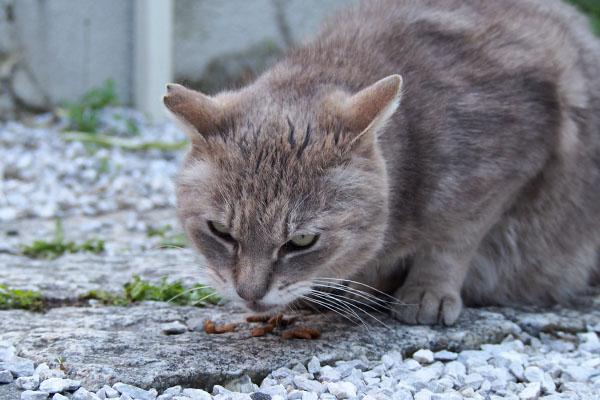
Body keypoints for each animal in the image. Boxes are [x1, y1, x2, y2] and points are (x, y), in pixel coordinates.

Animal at [162, 0, 596, 324]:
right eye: (220, 231)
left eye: (301, 241)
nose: (249, 294)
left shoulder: (506, 167)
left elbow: (454, 239)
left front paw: (428, 290)